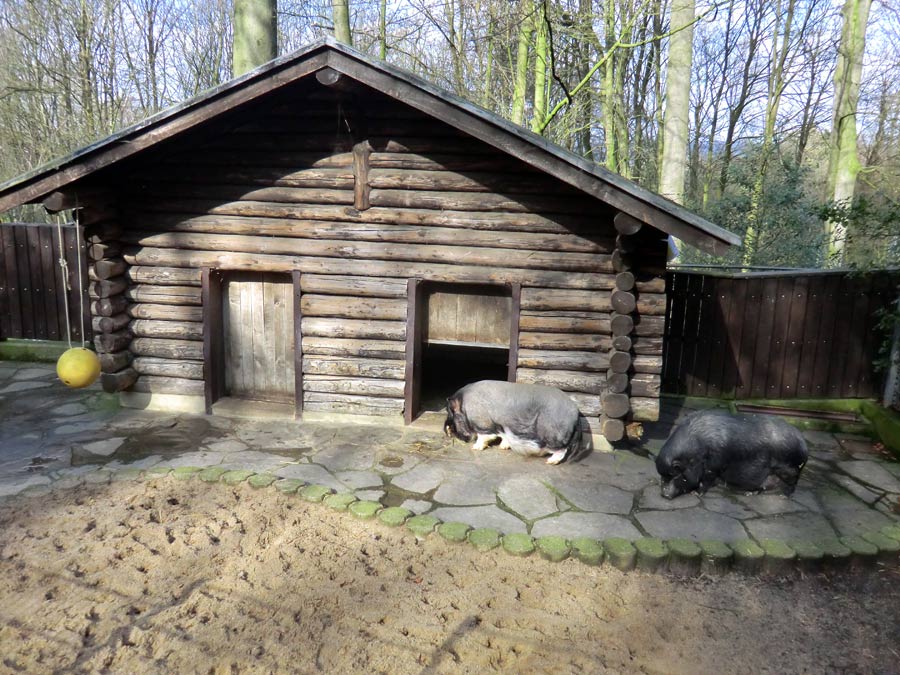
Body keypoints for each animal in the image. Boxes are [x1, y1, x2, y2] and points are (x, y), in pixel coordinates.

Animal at [444, 380, 592, 464]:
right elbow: (503, 437)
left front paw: (475, 448)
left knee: (562, 449)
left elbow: (484, 436)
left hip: (552, 434)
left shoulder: (483, 423)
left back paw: (550, 461)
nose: (446, 430)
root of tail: (576, 412)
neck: (465, 405)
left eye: (452, 415)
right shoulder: (502, 425)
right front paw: (502, 447)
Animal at [652, 410, 808, 500]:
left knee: (792, 484)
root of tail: (803, 444)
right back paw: (748, 494)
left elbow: (706, 480)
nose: (664, 495)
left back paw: (783, 496)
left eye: (675, 475)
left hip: (790, 470)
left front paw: (695, 493)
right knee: (762, 487)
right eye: (662, 475)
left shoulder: (714, 465)